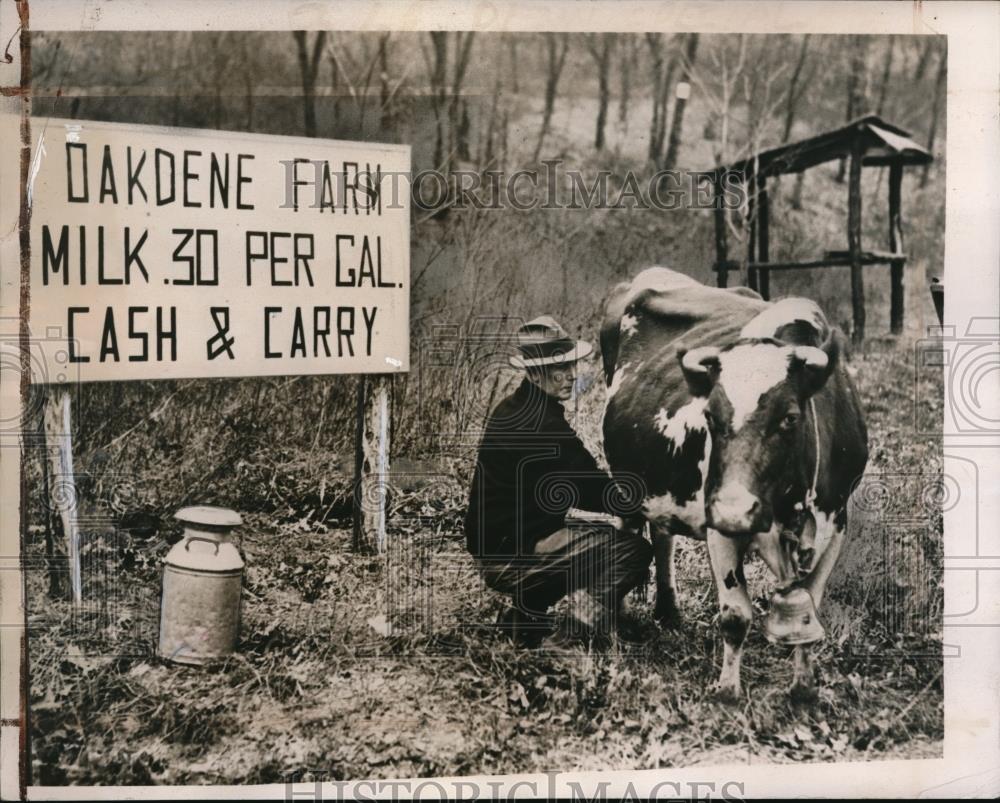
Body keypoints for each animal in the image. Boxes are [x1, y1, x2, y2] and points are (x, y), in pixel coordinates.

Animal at [600, 266, 868, 700]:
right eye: (710, 415)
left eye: (790, 417)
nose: (734, 510)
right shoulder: (719, 527)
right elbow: (735, 615)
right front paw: (727, 690)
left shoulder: (836, 522)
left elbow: (809, 610)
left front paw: (804, 689)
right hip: (627, 484)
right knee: (628, 532)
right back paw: (622, 618)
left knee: (662, 535)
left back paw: (669, 611)